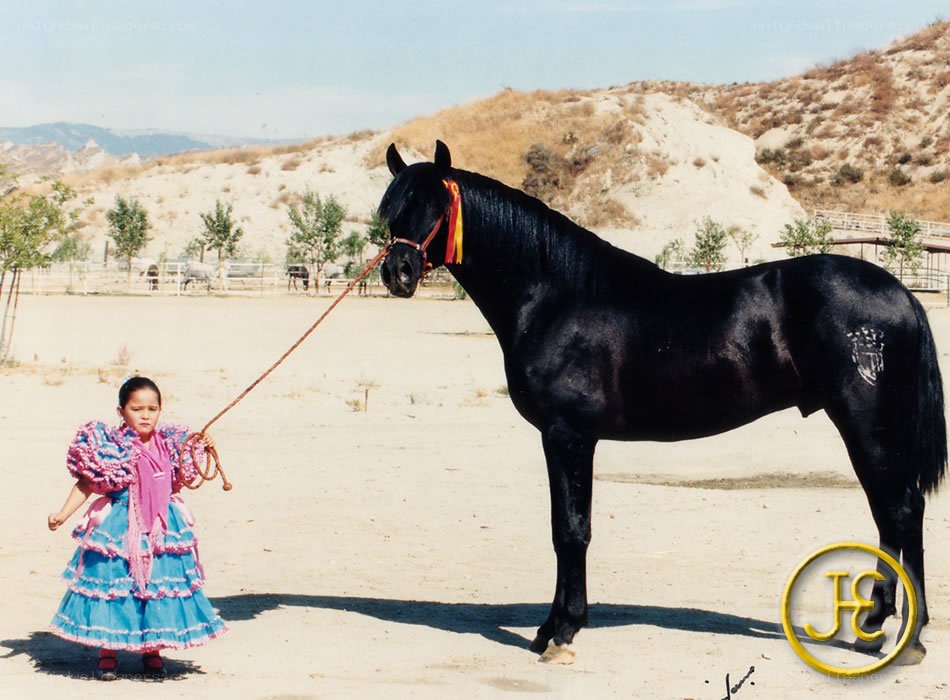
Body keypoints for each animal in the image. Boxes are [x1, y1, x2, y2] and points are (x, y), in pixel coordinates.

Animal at [377, 141, 946, 664]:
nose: (397, 271)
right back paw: (876, 625)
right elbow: (566, 528)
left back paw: (908, 638)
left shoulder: (567, 435)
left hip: (867, 424)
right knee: (890, 515)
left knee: (900, 510)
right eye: (393, 206)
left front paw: (560, 633)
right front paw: (552, 627)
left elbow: (571, 531)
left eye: (436, 206)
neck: (556, 297)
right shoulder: (565, 438)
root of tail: (901, 293)